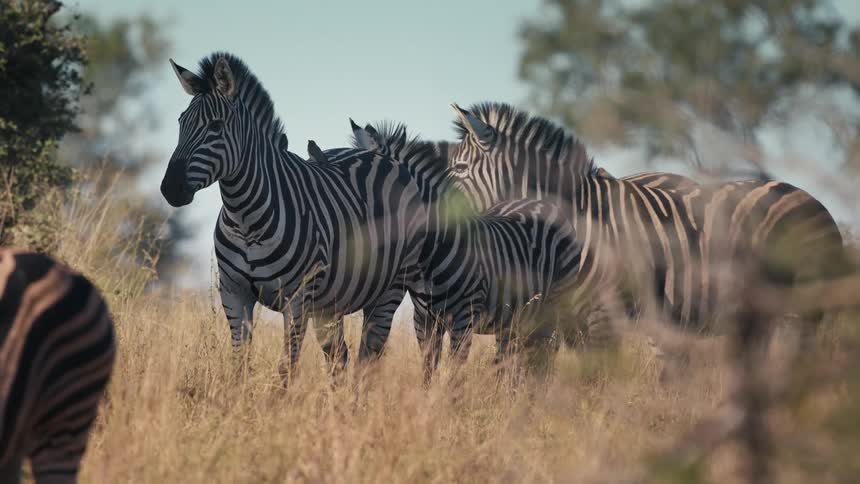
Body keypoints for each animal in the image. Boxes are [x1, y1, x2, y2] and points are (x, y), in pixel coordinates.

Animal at [159, 53, 427, 382]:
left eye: (216, 126)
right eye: (181, 122)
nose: (170, 188)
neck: (245, 218)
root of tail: (383, 156)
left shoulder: (296, 301)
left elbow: (286, 369)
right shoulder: (234, 294)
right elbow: (240, 365)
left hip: (390, 289)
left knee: (368, 358)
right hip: (330, 303)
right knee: (340, 358)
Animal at [350, 122, 590, 380]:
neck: (431, 254)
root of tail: (544, 203)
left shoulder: (463, 319)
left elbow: (454, 375)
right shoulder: (424, 320)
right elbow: (428, 371)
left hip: (555, 304)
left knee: (546, 357)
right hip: (516, 315)